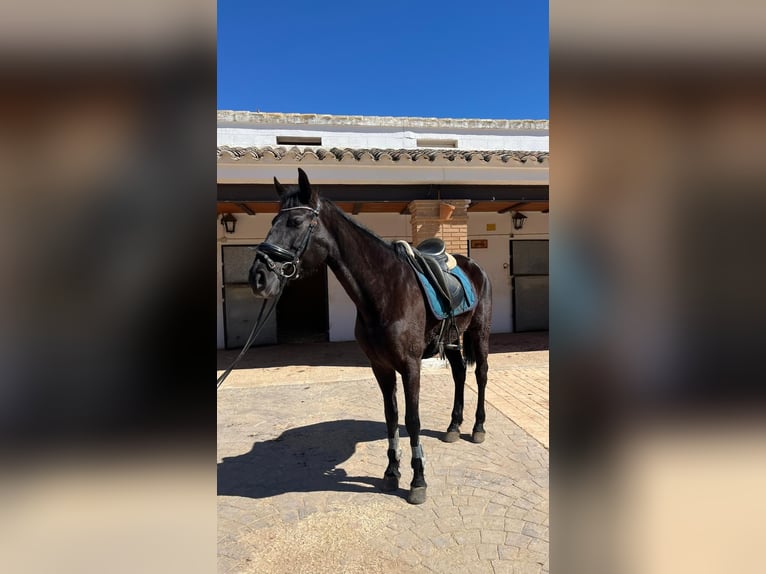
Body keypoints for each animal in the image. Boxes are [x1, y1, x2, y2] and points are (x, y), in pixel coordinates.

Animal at [249, 168, 492, 504]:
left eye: (295, 221)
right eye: (273, 220)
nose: (258, 277)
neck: (385, 289)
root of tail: (473, 265)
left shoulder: (411, 366)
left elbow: (412, 420)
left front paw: (418, 481)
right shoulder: (380, 366)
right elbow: (392, 416)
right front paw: (391, 472)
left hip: (479, 333)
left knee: (480, 375)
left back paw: (478, 427)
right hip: (453, 341)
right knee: (459, 375)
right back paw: (453, 426)